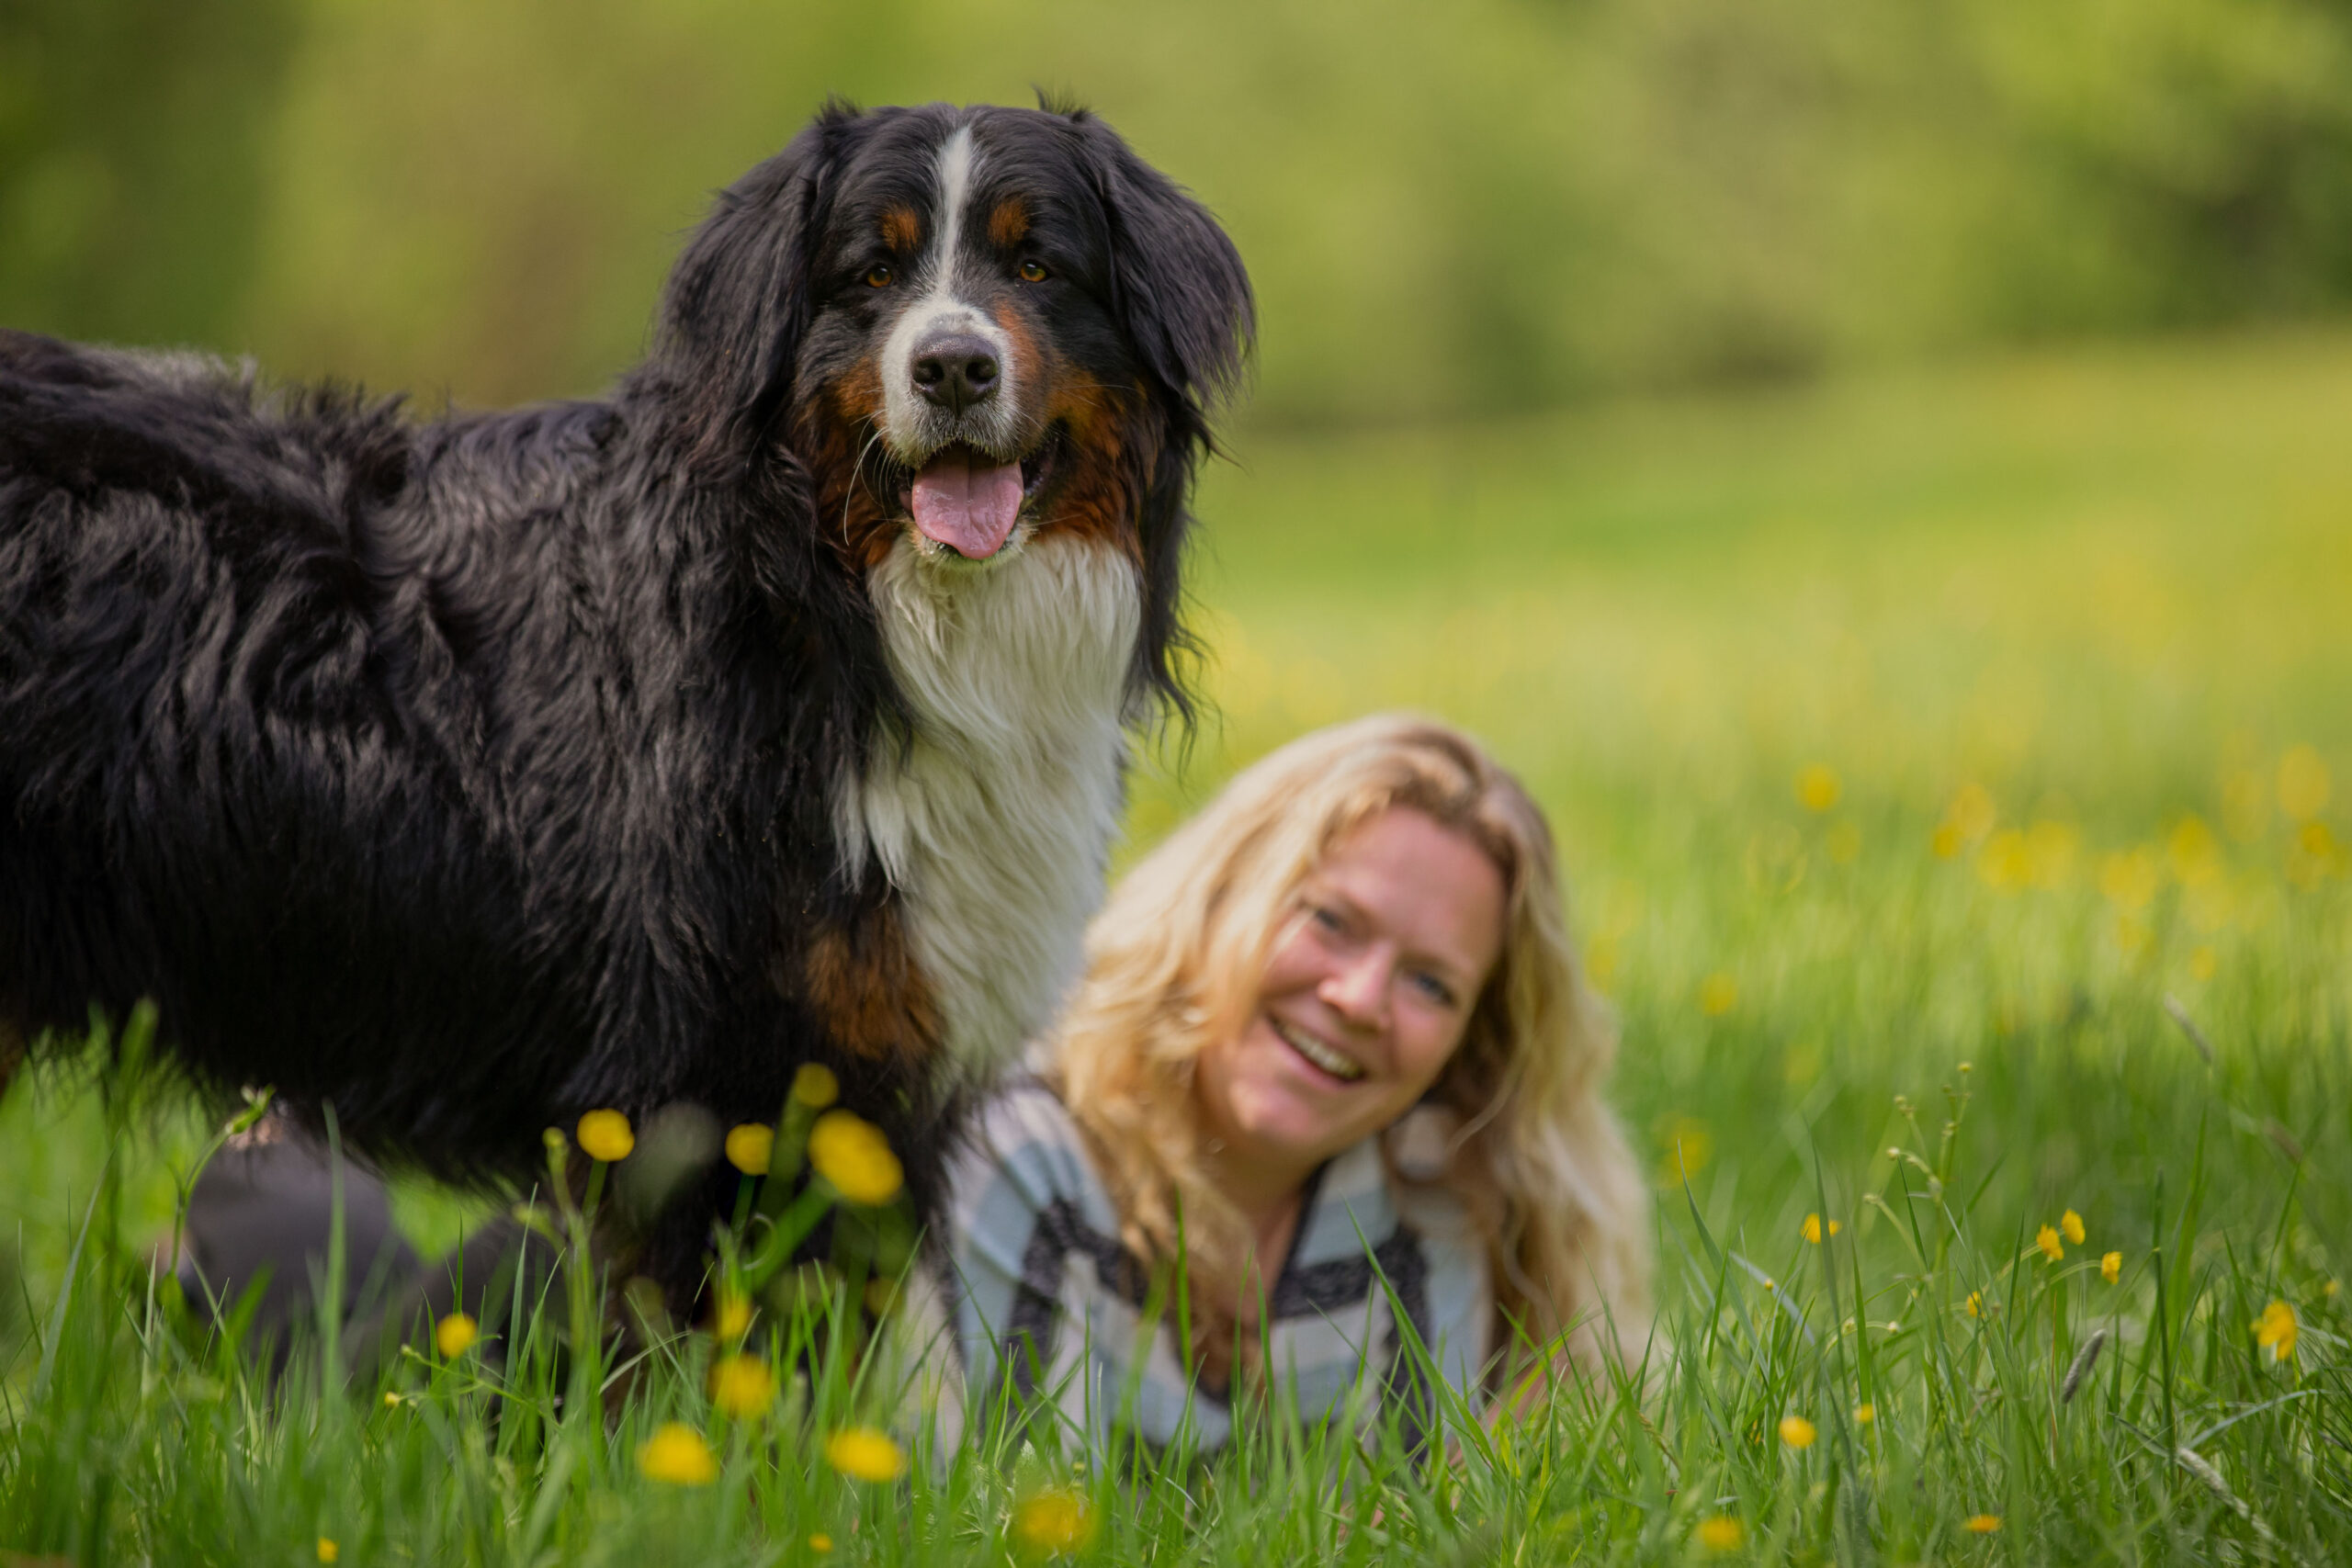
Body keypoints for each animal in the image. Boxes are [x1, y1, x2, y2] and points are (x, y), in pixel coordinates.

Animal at [0, 95, 1261, 1297]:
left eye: (1037, 264)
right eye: (871, 273)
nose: (953, 365)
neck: (830, 612)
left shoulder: (864, 1102)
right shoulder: (681, 1088)